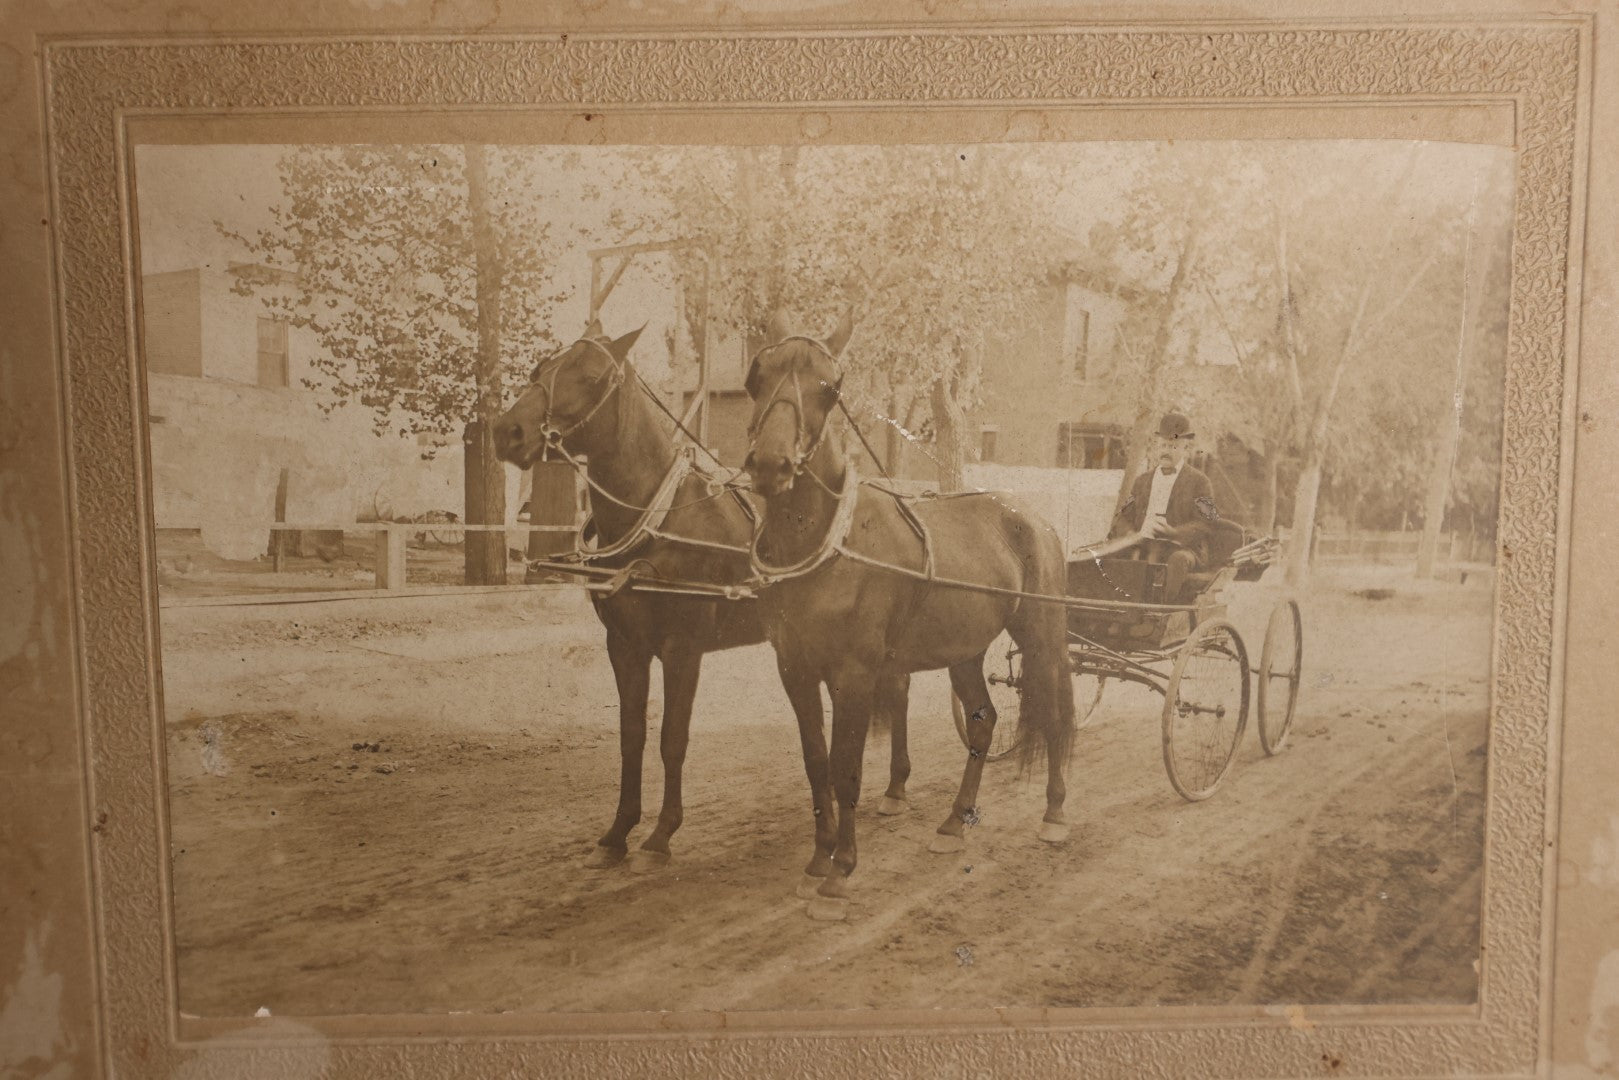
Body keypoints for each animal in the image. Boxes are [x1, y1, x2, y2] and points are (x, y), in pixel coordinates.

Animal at [485, 325, 919, 874]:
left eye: (593, 376)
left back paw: (896, 787)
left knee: (899, 690)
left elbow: (672, 738)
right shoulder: (623, 645)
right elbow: (632, 736)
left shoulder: (682, 647)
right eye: (539, 371)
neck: (659, 520)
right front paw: (617, 832)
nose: (509, 432)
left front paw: (660, 835)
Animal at [741, 314, 1075, 919]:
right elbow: (816, 763)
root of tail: (1030, 517)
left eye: (831, 387)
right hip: (964, 650)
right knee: (983, 721)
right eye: (757, 377)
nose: (772, 464)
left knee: (1056, 711)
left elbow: (846, 768)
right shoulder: (795, 669)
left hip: (1041, 636)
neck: (834, 543)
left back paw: (1055, 813)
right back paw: (953, 823)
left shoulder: (854, 674)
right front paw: (817, 860)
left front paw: (840, 873)